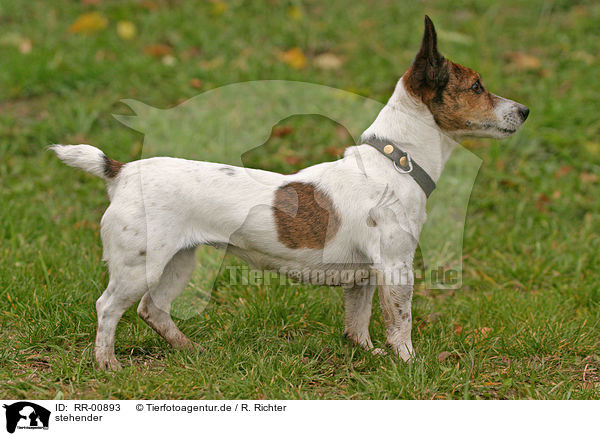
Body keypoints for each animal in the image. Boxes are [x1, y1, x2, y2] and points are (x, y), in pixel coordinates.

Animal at [52, 17, 528, 372]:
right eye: (477, 87)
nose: (524, 110)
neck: (395, 161)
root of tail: (121, 172)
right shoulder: (395, 268)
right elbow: (401, 323)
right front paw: (409, 365)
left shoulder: (363, 277)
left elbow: (357, 323)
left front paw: (368, 356)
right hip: (141, 264)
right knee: (108, 307)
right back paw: (107, 364)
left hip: (179, 262)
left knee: (153, 309)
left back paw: (191, 351)